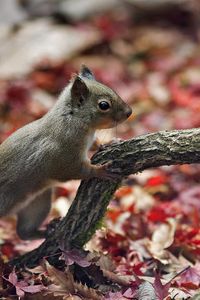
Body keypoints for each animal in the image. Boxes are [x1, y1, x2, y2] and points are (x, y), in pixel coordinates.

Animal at [0, 65, 131, 239]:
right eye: (104, 105)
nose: (129, 112)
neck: (72, 120)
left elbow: (95, 144)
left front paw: (109, 142)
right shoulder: (62, 157)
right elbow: (74, 171)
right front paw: (101, 171)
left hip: (37, 203)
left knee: (24, 232)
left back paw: (48, 230)